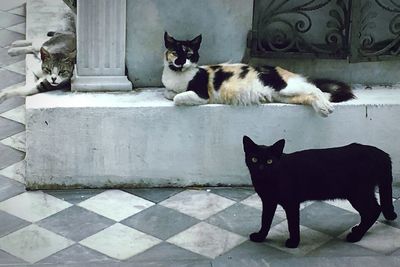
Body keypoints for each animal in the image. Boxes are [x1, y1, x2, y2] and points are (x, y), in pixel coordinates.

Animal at [161, 31, 354, 117]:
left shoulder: (202, 93)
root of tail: (283, 70)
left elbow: (178, 98)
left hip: (286, 87)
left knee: (315, 89)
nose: (180, 62)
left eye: (189, 53)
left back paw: (325, 107)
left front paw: (180, 97)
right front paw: (171, 92)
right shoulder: (169, 87)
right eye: (175, 53)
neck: (176, 75)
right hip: (285, 96)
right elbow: (168, 93)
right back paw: (323, 106)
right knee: (312, 93)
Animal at [242, 137, 398, 250]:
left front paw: (294, 243)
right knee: (370, 212)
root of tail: (382, 154)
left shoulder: (291, 203)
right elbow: (265, 220)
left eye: (269, 161)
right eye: (254, 159)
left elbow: (293, 224)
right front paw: (261, 237)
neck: (268, 180)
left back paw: (356, 236)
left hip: (358, 193)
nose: (261, 168)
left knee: (374, 210)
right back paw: (357, 230)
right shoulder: (268, 201)